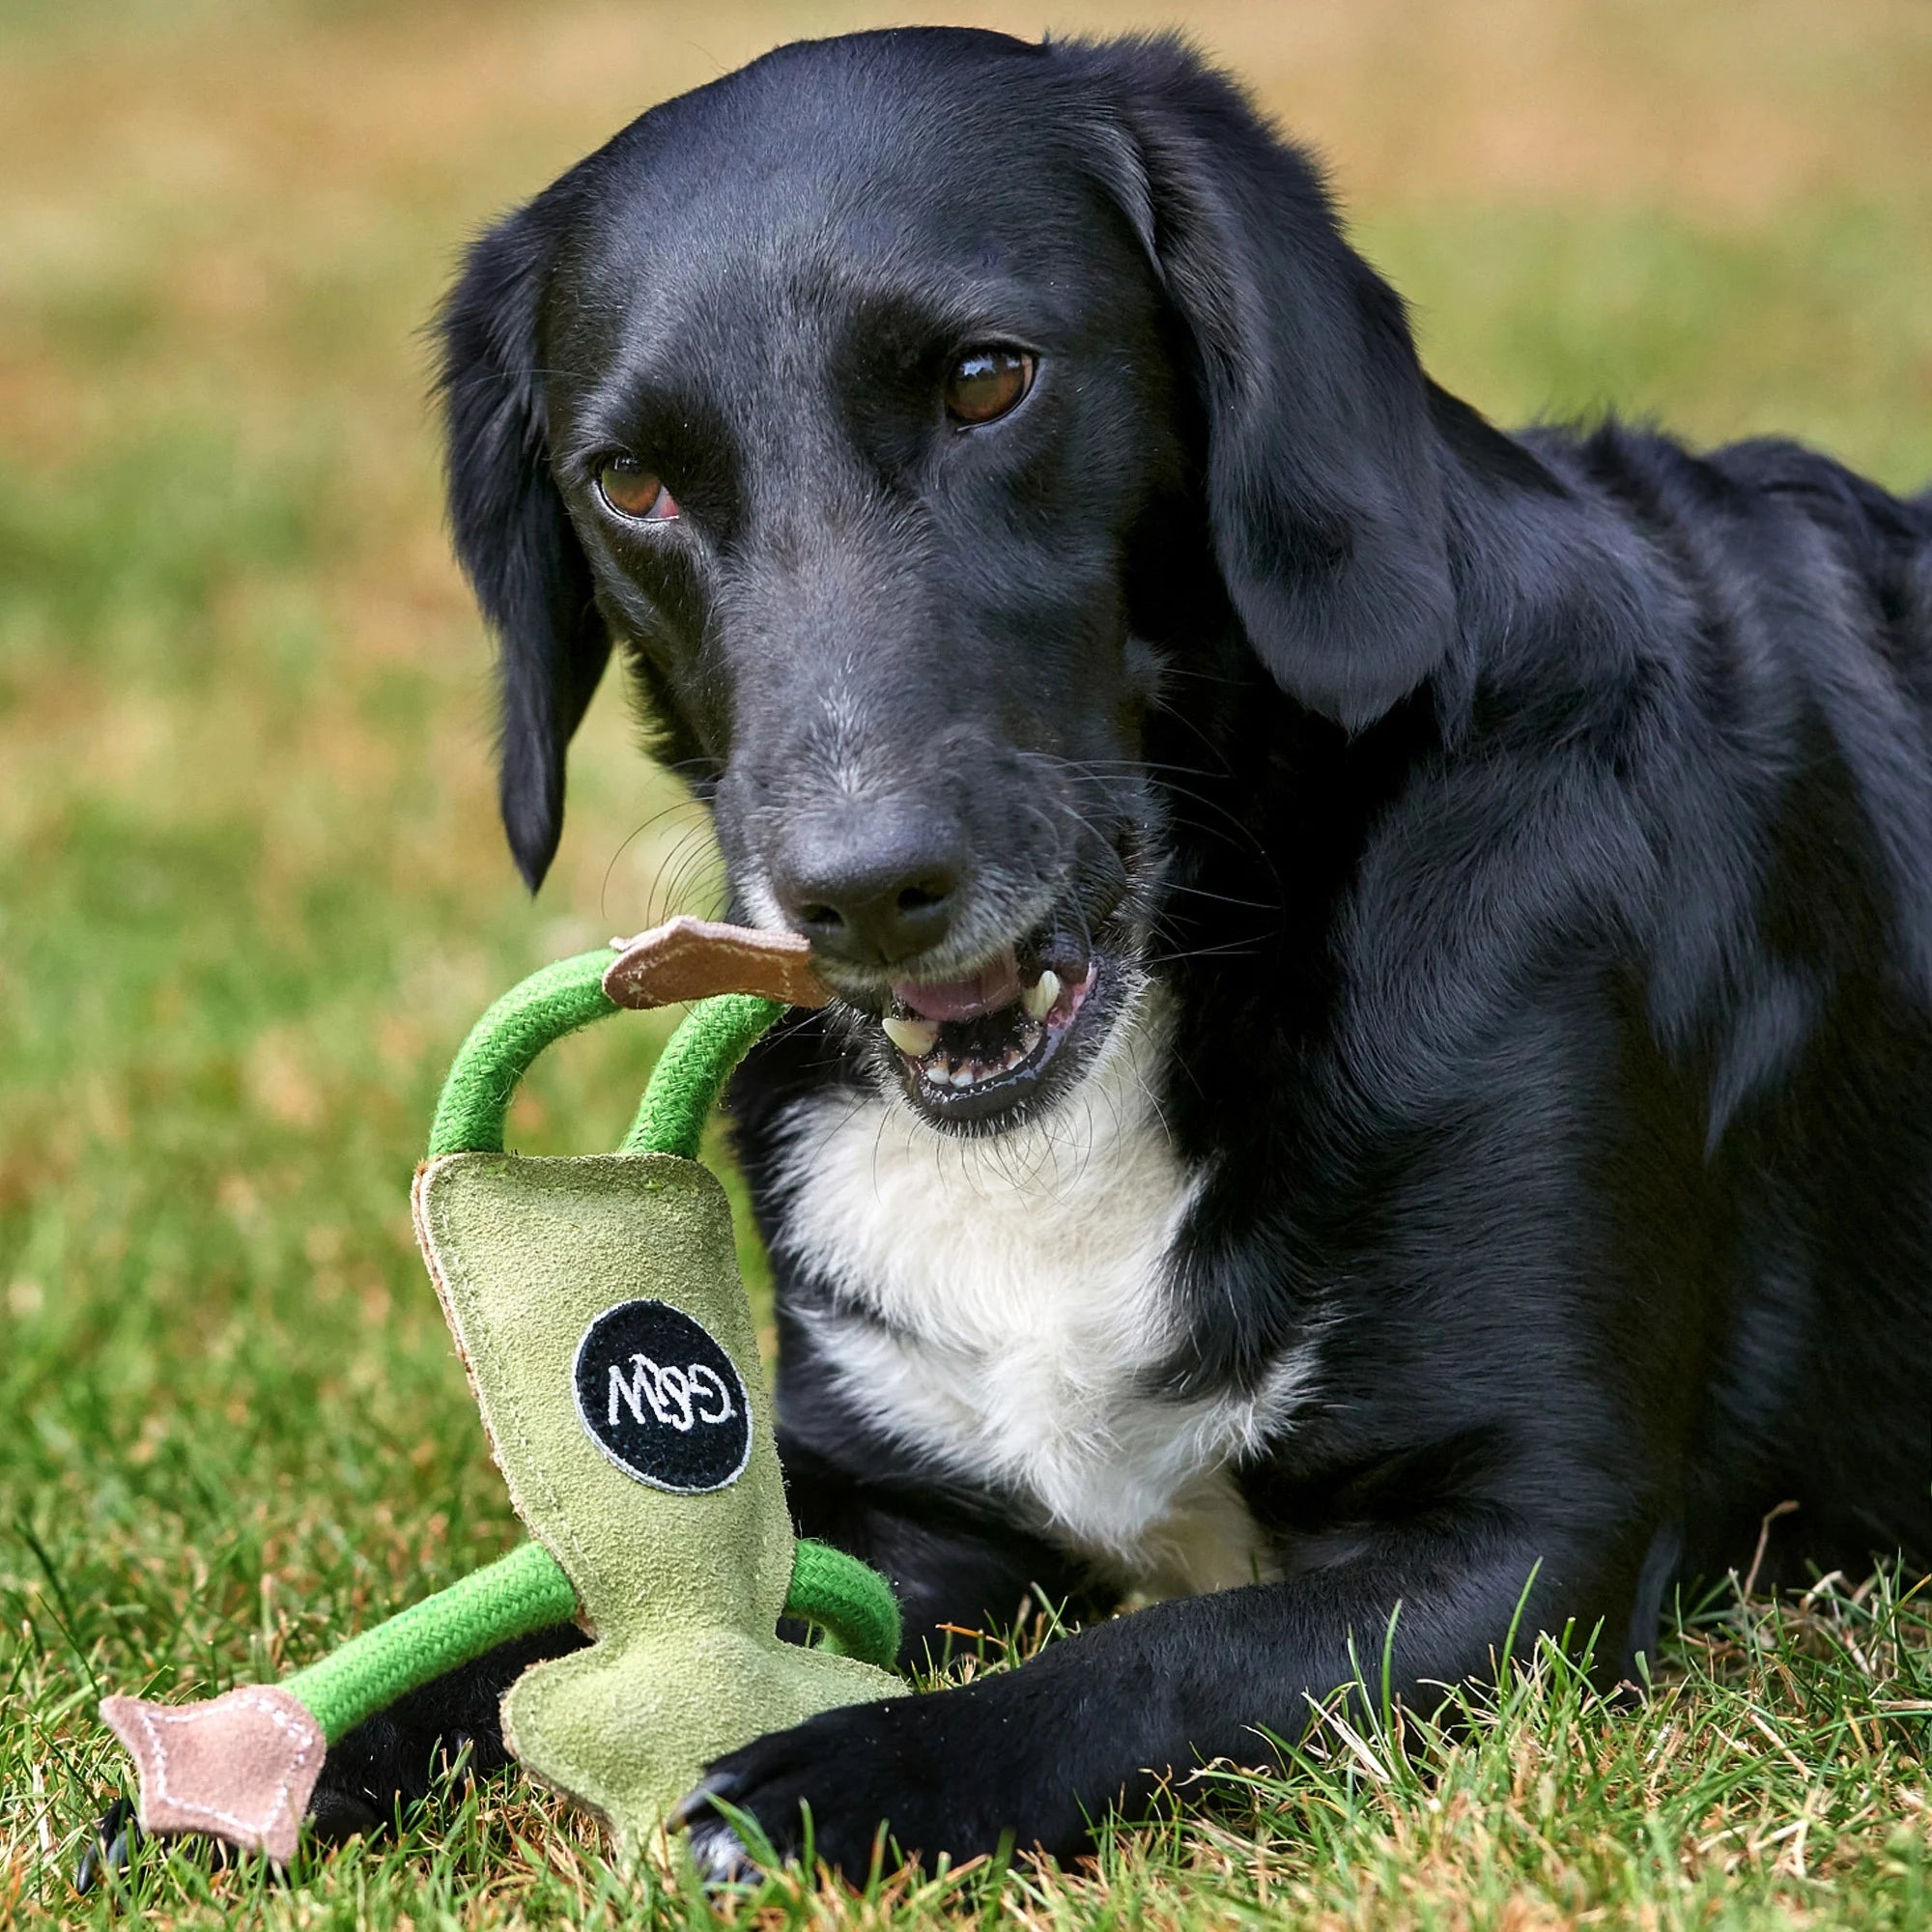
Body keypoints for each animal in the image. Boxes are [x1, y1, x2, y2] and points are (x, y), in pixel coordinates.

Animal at [332, 26, 1932, 1870]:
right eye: (632, 483)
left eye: (985, 381)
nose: (858, 889)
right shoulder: (887, 1501)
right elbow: (531, 1637)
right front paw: (295, 1753)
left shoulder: (1530, 1539)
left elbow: (1154, 1662)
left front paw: (855, 1777)